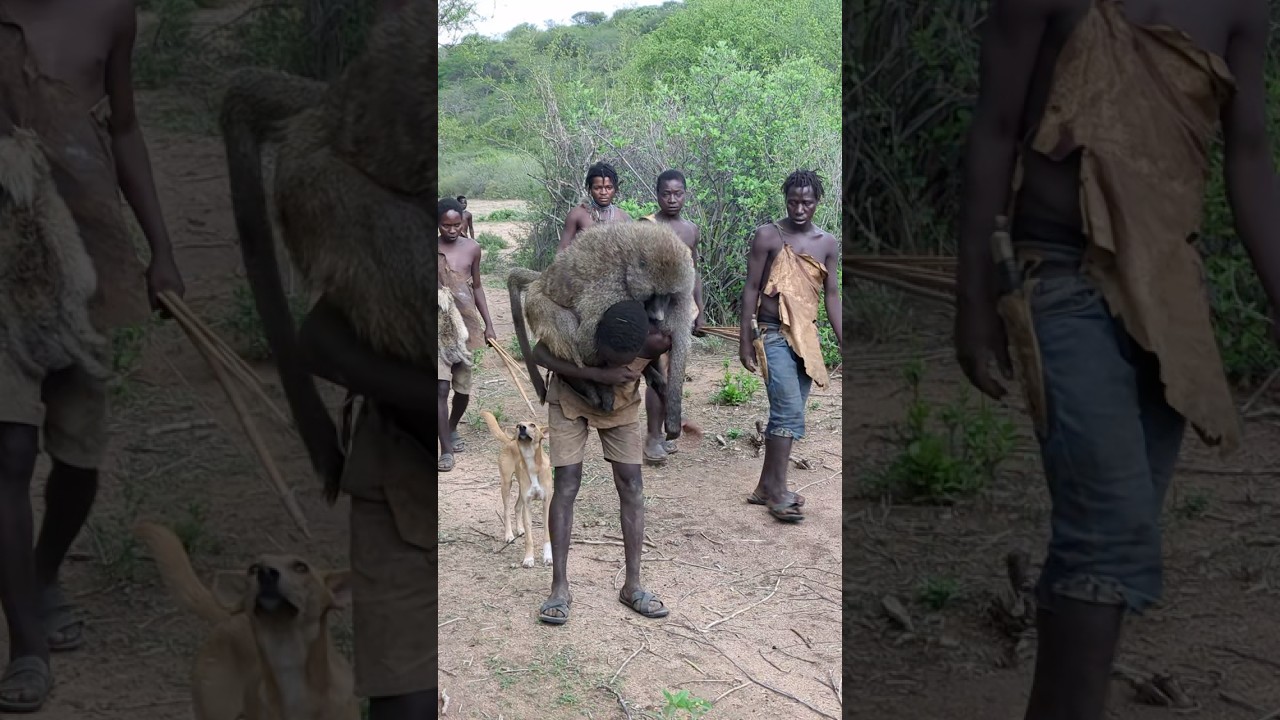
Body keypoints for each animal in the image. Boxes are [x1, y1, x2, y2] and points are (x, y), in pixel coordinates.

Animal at [507, 222, 695, 441]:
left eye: (667, 296)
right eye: (653, 295)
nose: (658, 316)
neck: (629, 264)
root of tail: (541, 279)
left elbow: (680, 337)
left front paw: (673, 413)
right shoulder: (613, 292)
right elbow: (586, 342)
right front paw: (605, 389)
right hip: (536, 302)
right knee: (565, 325)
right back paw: (582, 385)